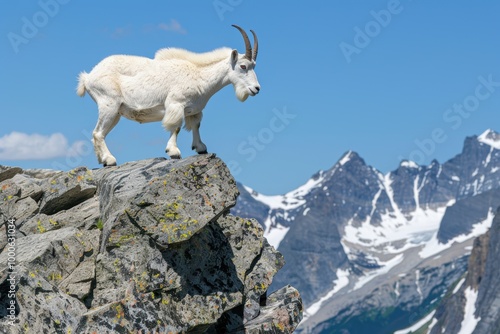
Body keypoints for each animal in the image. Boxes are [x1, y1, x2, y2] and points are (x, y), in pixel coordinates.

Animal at [77, 25, 262, 166]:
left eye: (253, 66)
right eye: (243, 66)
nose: (256, 88)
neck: (199, 74)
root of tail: (88, 77)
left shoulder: (194, 109)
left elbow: (196, 125)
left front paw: (201, 147)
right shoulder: (176, 103)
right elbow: (176, 126)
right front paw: (173, 152)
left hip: (116, 111)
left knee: (99, 134)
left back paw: (102, 160)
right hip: (108, 104)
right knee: (98, 133)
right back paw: (110, 160)